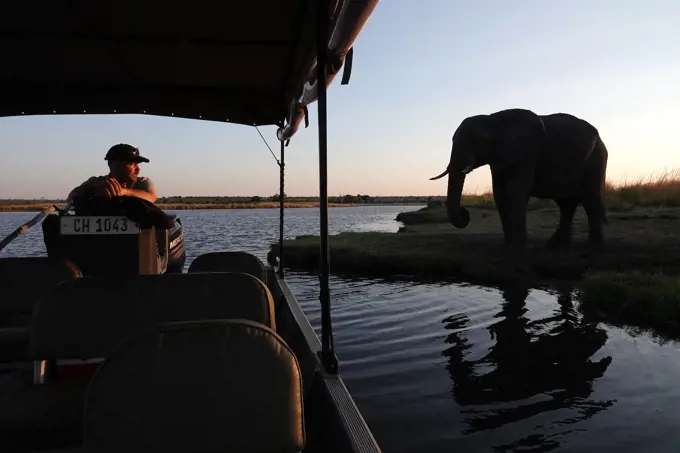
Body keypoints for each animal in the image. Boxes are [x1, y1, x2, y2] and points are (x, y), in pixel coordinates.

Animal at [430, 108, 604, 251]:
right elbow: (499, 195)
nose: (465, 212)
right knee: (566, 204)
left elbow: (515, 193)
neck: (492, 120)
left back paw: (592, 248)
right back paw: (557, 247)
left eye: (475, 140)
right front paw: (508, 247)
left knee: (590, 201)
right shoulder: (499, 158)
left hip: (596, 158)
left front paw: (517, 249)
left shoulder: (526, 154)